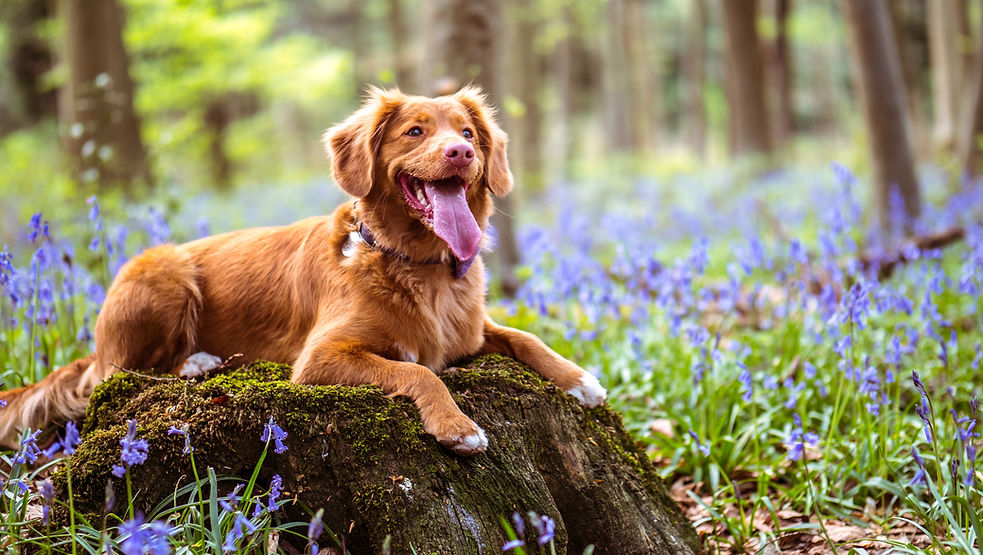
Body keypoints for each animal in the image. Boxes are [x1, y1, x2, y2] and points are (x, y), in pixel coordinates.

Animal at [0, 87, 608, 456]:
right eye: (414, 131)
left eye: (468, 132)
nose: (461, 153)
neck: (418, 267)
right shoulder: (320, 358)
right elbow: (419, 372)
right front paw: (457, 426)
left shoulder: (471, 332)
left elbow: (525, 337)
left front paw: (579, 378)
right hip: (163, 271)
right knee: (120, 374)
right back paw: (196, 362)